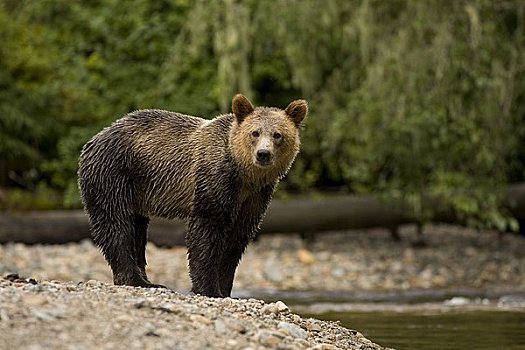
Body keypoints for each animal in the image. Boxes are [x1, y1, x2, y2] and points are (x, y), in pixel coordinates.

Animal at [78, 94, 308, 296]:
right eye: (255, 132)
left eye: (277, 135)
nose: (263, 154)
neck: (243, 174)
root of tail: (94, 139)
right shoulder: (215, 180)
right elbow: (206, 229)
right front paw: (209, 289)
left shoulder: (255, 196)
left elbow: (236, 239)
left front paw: (225, 289)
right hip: (114, 173)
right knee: (116, 223)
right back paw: (136, 280)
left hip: (136, 191)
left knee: (137, 228)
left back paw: (144, 278)